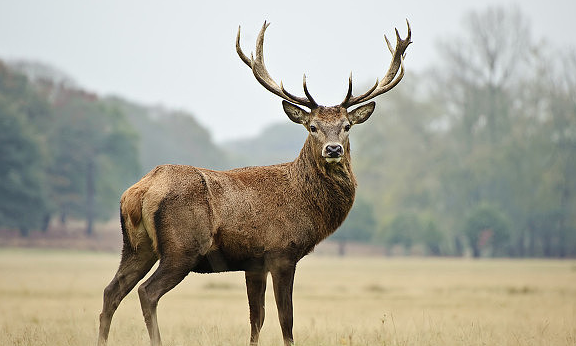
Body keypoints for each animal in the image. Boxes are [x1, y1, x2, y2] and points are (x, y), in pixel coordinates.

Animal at [98, 20, 410, 344]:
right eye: (312, 127)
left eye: (347, 126)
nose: (333, 149)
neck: (306, 204)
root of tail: (139, 191)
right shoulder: (282, 252)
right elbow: (286, 319)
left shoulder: (254, 263)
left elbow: (256, 318)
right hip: (181, 248)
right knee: (147, 292)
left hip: (136, 246)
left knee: (111, 291)